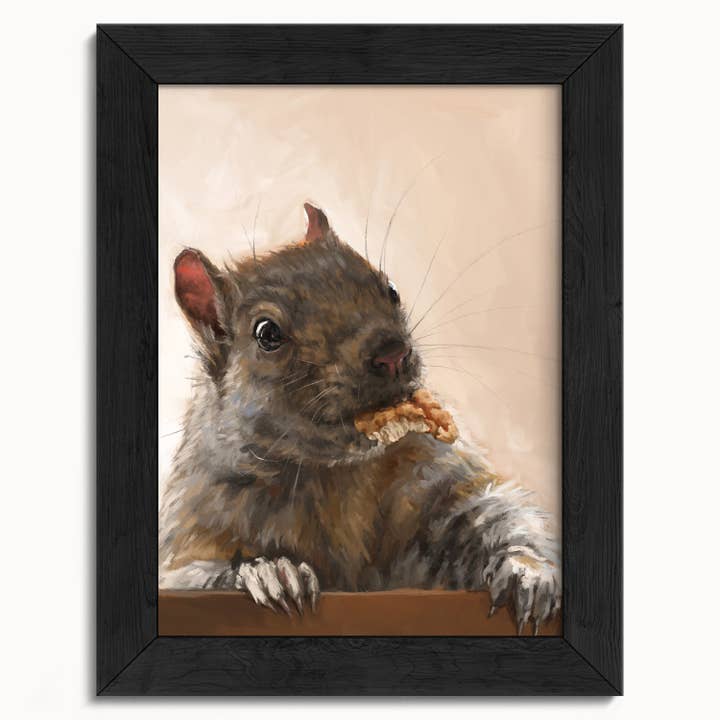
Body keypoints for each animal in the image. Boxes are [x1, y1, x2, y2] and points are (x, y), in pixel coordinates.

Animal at [159, 202, 560, 633]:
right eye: (267, 333)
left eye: (391, 289)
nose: (392, 353)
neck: (335, 474)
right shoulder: (192, 528)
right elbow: (187, 573)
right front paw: (268, 572)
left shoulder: (431, 477)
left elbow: (489, 509)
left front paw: (528, 570)